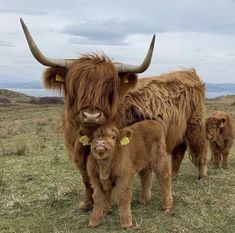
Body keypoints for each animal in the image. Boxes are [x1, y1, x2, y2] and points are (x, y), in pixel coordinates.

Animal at [20, 18, 207, 211]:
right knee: (179, 150)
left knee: (200, 146)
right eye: (75, 86)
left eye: (110, 89)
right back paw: (175, 176)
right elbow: (87, 180)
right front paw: (86, 204)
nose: (91, 115)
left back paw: (201, 177)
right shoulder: (80, 153)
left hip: (195, 123)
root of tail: (188, 72)